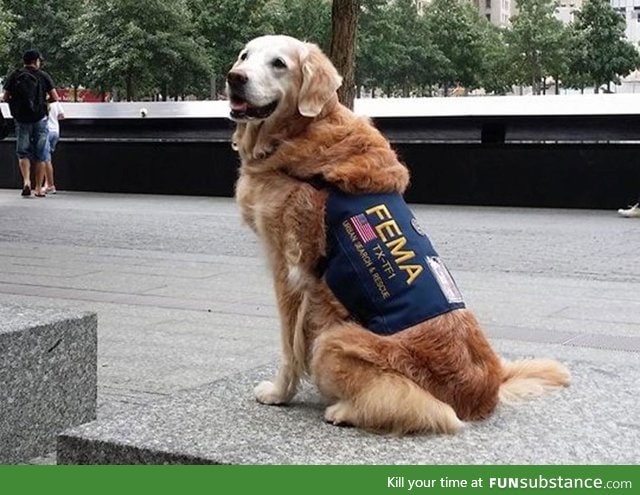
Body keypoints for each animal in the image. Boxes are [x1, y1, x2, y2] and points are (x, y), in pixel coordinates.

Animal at [226, 36, 568, 436]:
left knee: (430, 411)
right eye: (244, 56)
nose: (235, 77)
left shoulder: (289, 268)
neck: (298, 133)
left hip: (334, 340)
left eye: (278, 63)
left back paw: (342, 410)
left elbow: (288, 345)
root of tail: (486, 392)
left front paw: (280, 392)